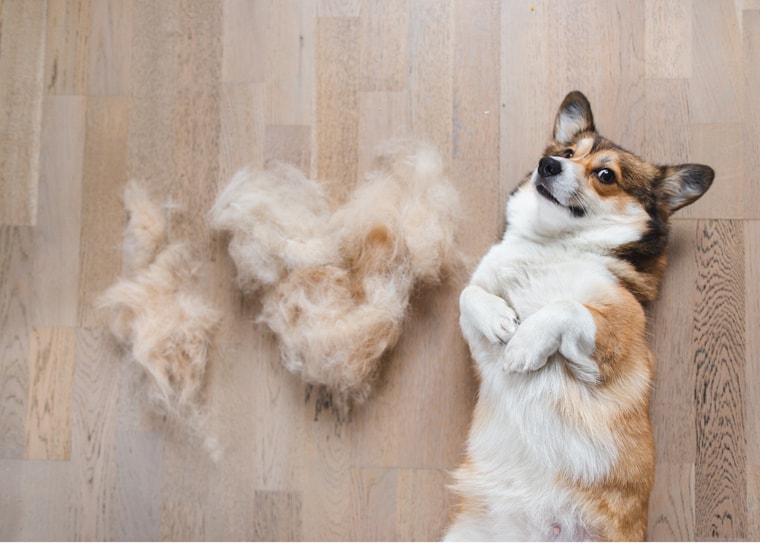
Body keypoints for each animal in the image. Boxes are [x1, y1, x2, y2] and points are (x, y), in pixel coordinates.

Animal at [446, 91, 712, 540]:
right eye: (568, 153)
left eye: (605, 174)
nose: (547, 164)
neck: (553, 244)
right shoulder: (477, 335)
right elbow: (469, 293)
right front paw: (500, 321)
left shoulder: (618, 334)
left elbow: (566, 307)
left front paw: (523, 346)